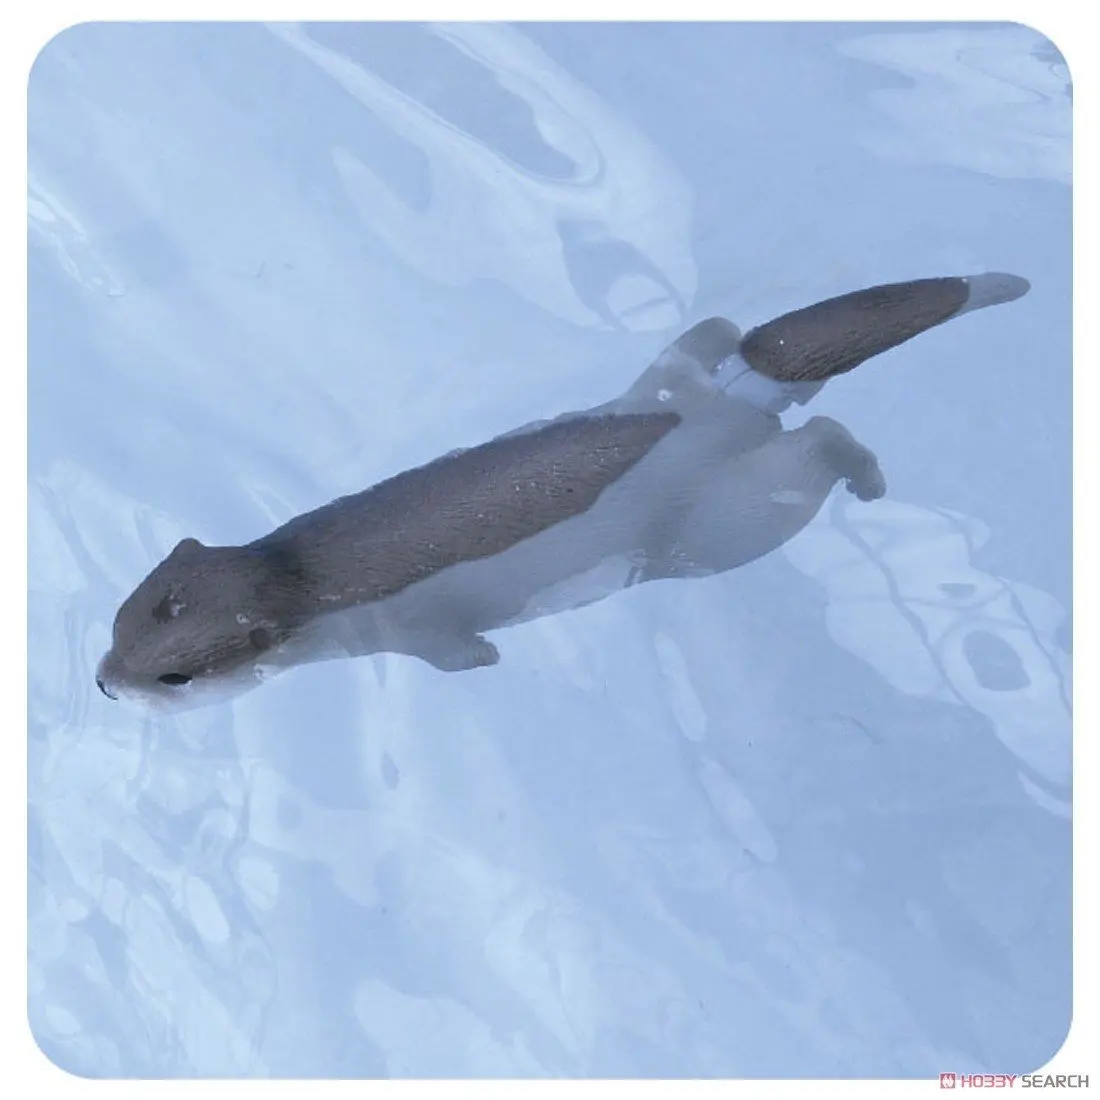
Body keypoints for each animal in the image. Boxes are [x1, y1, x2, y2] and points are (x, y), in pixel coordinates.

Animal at [96, 272, 1030, 709]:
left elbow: (458, 653)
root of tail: (727, 401)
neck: (308, 577)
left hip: (717, 525)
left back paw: (868, 478)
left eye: (174, 677)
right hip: (685, 366)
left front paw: (484, 662)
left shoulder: (411, 628)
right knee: (719, 335)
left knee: (820, 447)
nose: (106, 684)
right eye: (121, 624)